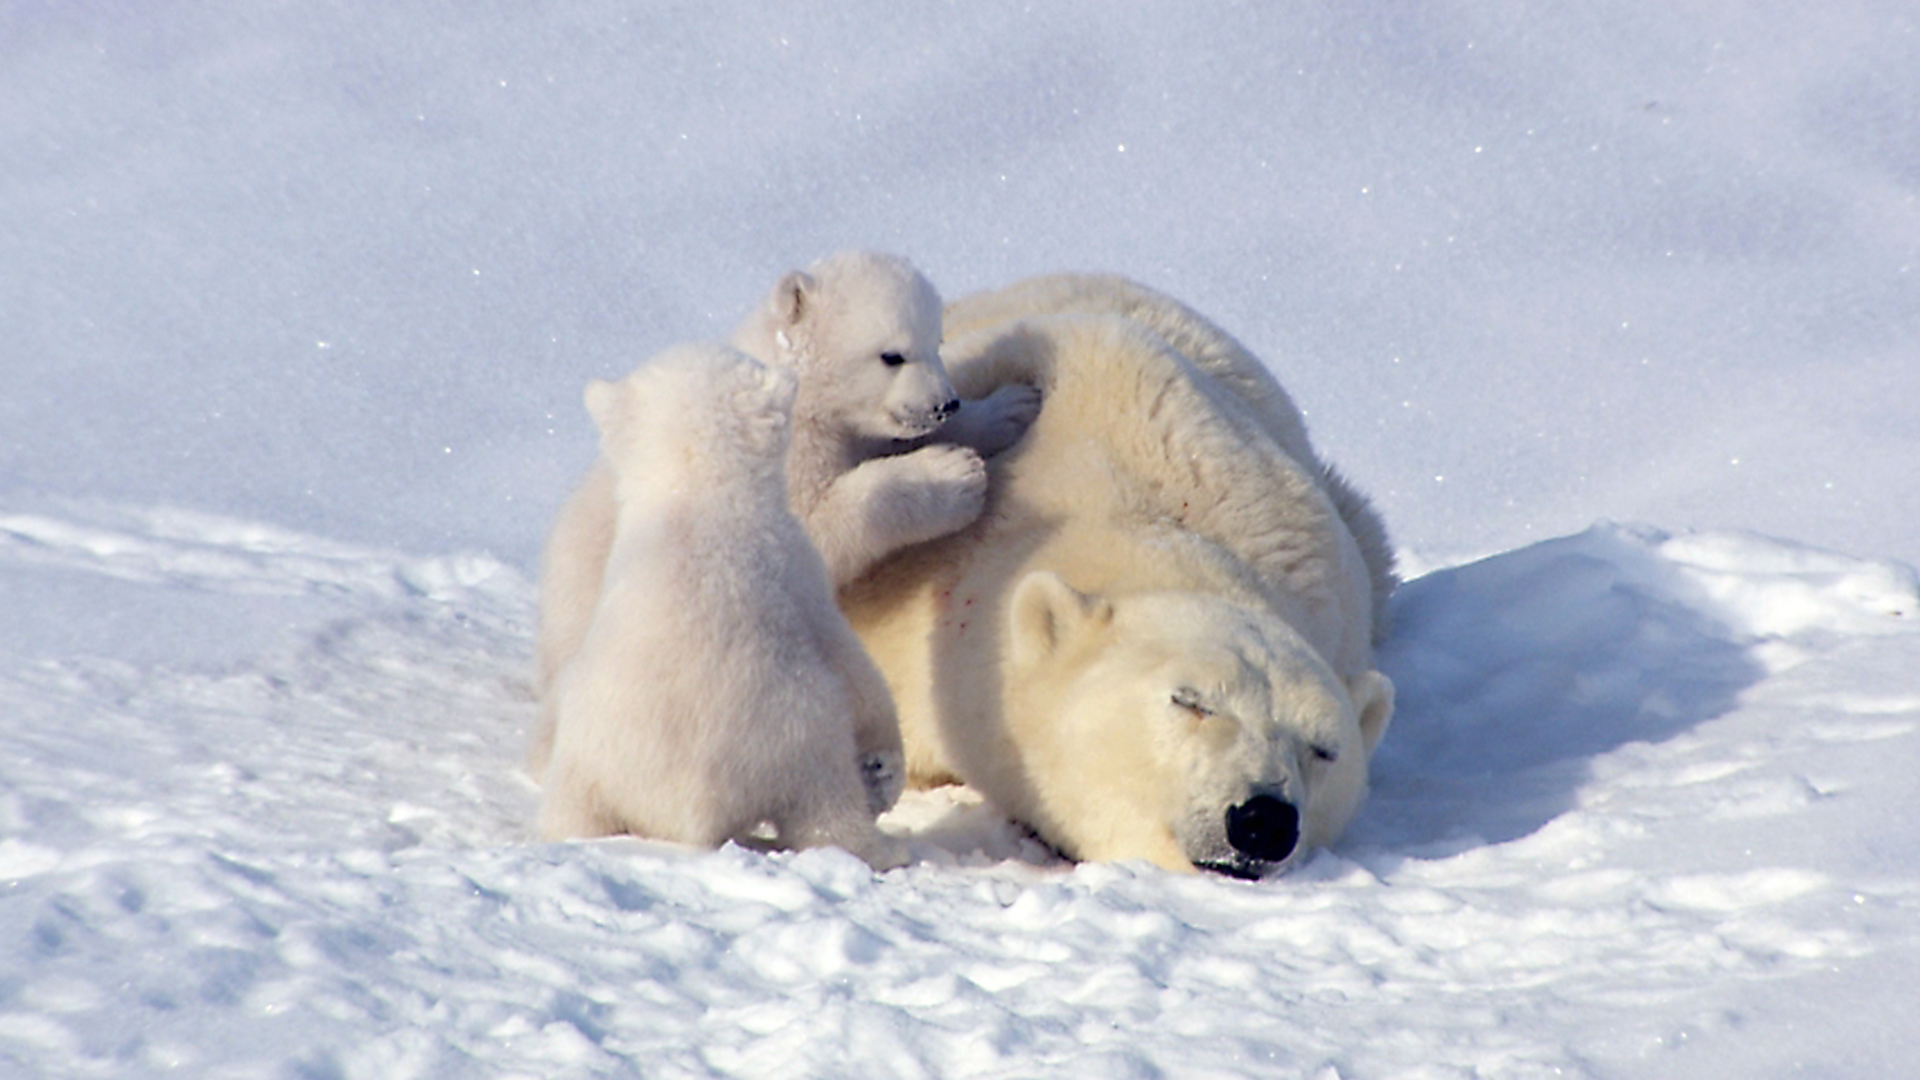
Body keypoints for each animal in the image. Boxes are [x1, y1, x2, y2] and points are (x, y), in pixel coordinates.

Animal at [526, 247, 1044, 776]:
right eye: (891, 354)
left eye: (936, 340)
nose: (944, 403)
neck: (805, 393)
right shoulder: (788, 454)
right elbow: (822, 522)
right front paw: (954, 475)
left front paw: (1011, 405)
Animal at [533, 343, 906, 864]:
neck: (696, 490)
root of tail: (693, 816)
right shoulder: (797, 567)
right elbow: (853, 664)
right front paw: (885, 769)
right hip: (799, 736)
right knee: (826, 810)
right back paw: (881, 847)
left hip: (584, 757)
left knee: (569, 811)